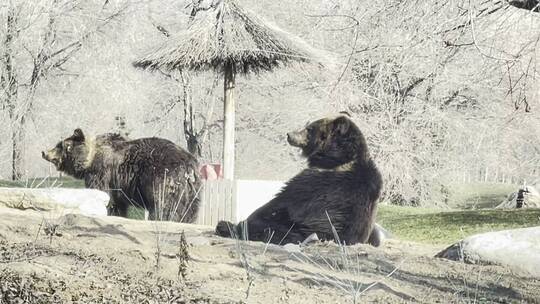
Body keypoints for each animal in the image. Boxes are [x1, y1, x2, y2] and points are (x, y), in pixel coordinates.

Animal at [42, 129, 201, 223]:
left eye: (60, 145)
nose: (44, 152)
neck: (88, 160)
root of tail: (189, 165)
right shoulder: (118, 186)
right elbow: (118, 204)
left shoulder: (101, 172)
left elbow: (104, 194)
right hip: (192, 190)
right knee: (189, 210)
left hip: (163, 177)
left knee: (163, 204)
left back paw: (160, 219)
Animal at [216, 115, 384, 246]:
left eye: (309, 128)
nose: (289, 134)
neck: (337, 157)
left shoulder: (318, 182)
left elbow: (280, 201)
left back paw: (225, 225)